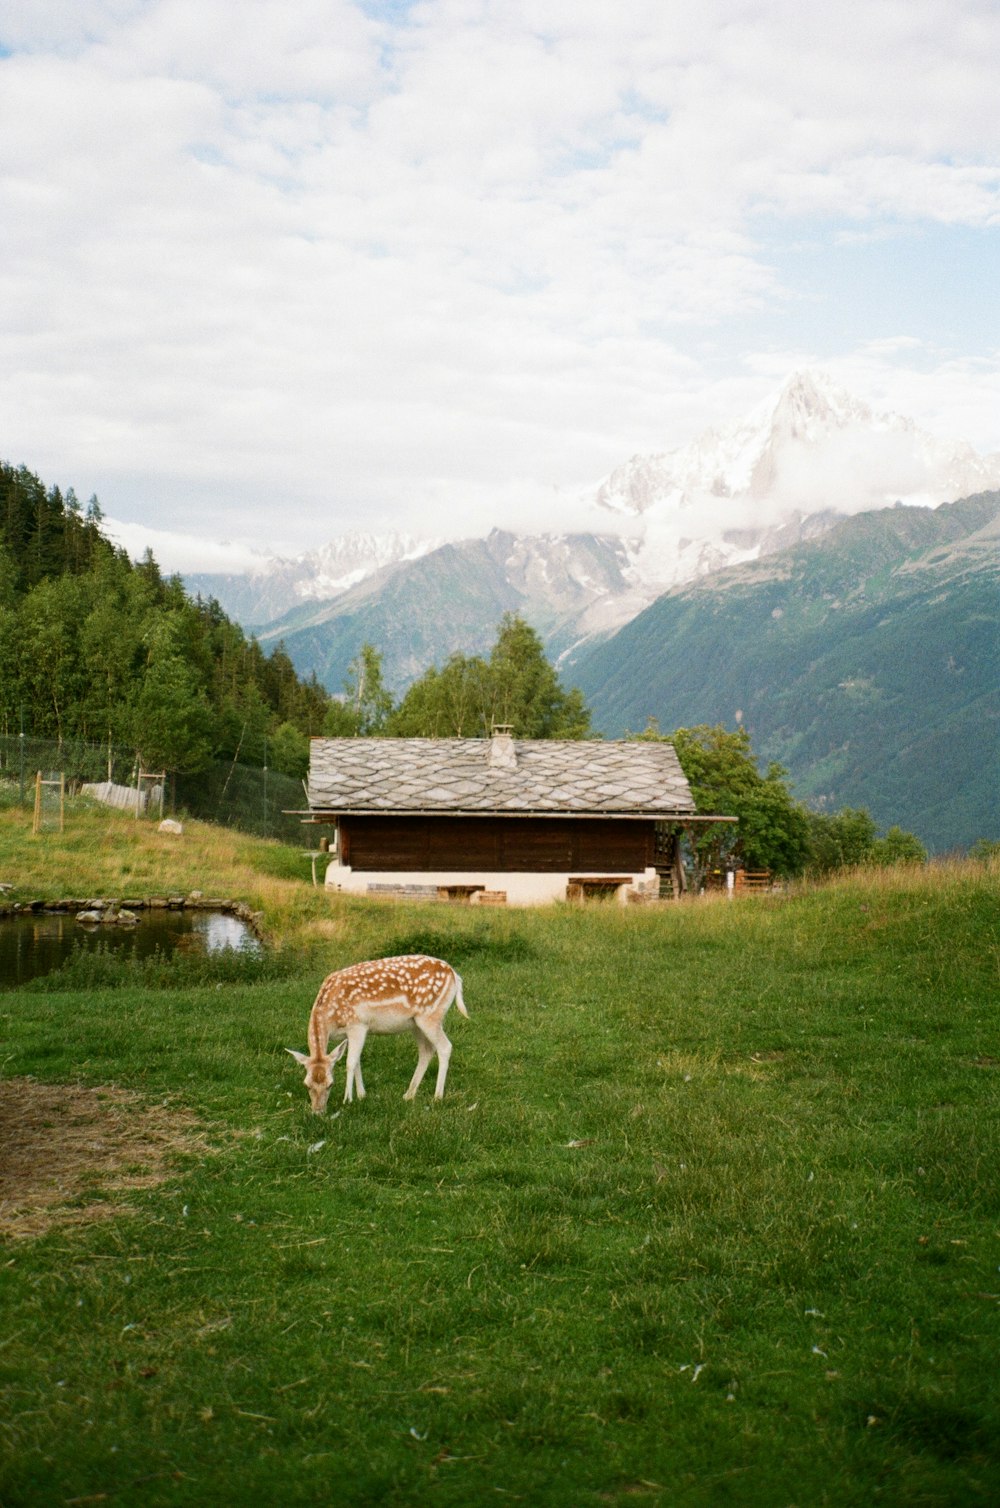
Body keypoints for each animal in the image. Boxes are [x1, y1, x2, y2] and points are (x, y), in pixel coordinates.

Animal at [283, 953, 467, 1109]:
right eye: (306, 1084)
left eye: (330, 1084)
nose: (318, 1111)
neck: (330, 1018)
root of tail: (455, 976)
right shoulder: (348, 1034)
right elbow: (356, 1060)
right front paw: (361, 1095)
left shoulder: (357, 1025)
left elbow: (350, 1062)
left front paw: (348, 1099)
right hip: (416, 1023)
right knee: (426, 1050)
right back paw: (409, 1094)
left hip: (430, 1016)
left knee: (445, 1047)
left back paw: (437, 1097)